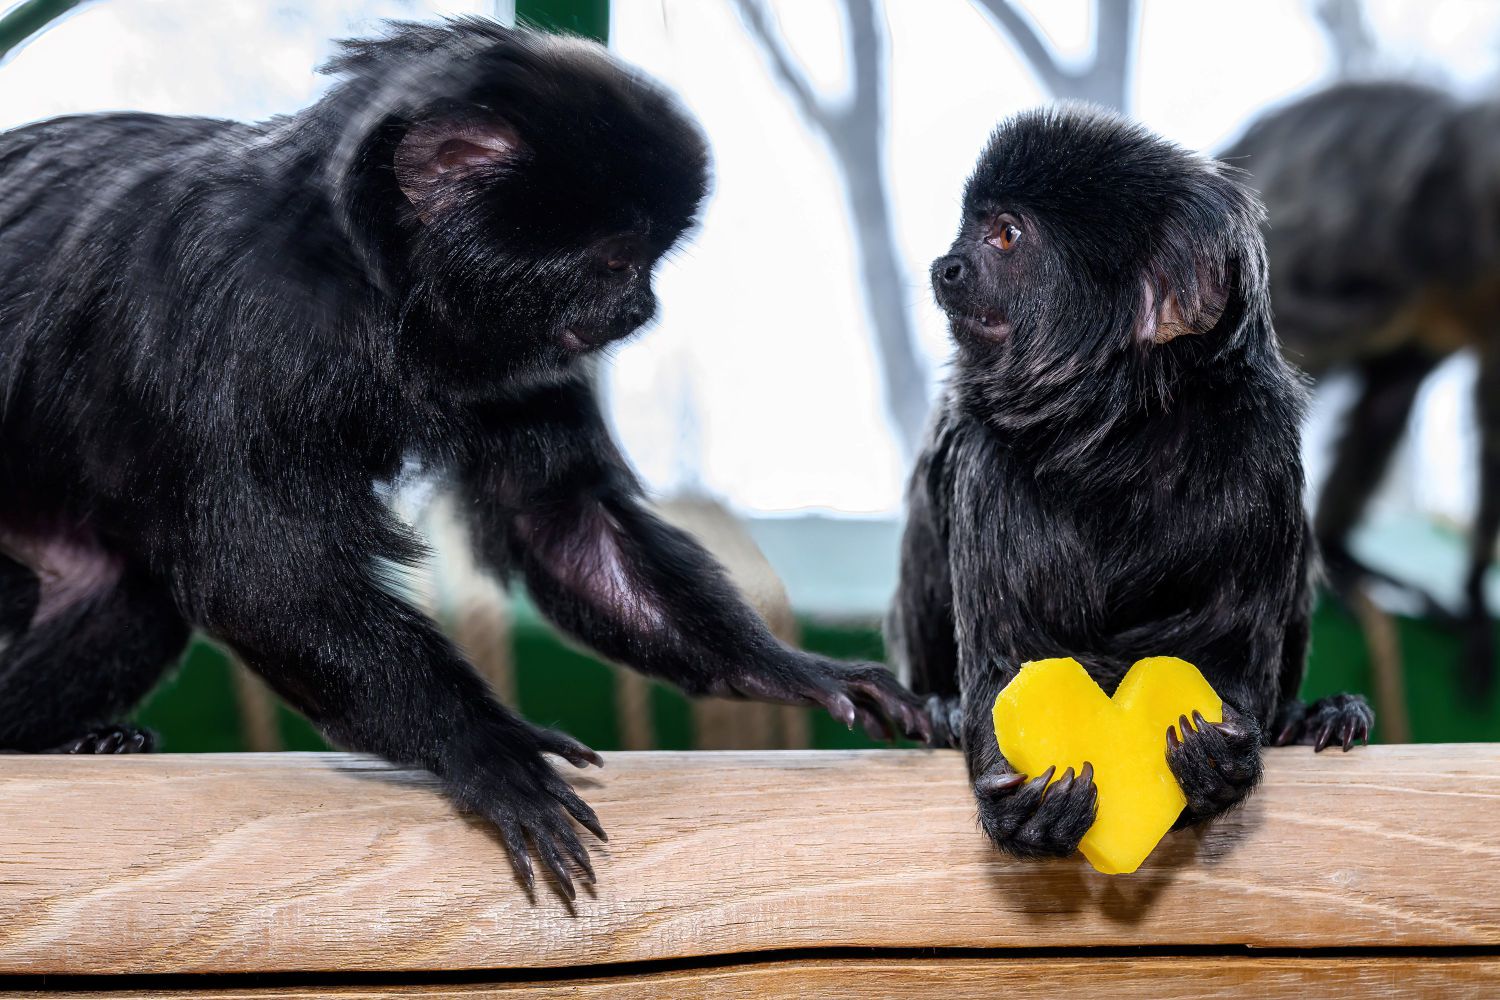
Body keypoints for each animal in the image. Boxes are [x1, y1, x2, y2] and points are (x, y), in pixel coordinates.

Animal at [0, 19, 924, 899]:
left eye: (649, 264)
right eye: (618, 262)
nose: (641, 309)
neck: (371, 295)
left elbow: (558, 518)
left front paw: (787, 669)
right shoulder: (238, 312)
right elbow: (263, 575)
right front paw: (489, 747)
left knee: (124, 597)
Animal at [882, 107, 1374, 863]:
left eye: (1006, 235)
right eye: (971, 229)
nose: (948, 266)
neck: (1117, 437)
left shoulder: (1260, 455)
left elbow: (1229, 653)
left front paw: (1213, 763)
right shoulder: (986, 461)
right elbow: (1007, 657)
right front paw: (1026, 806)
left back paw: (1316, 716)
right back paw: (938, 707)